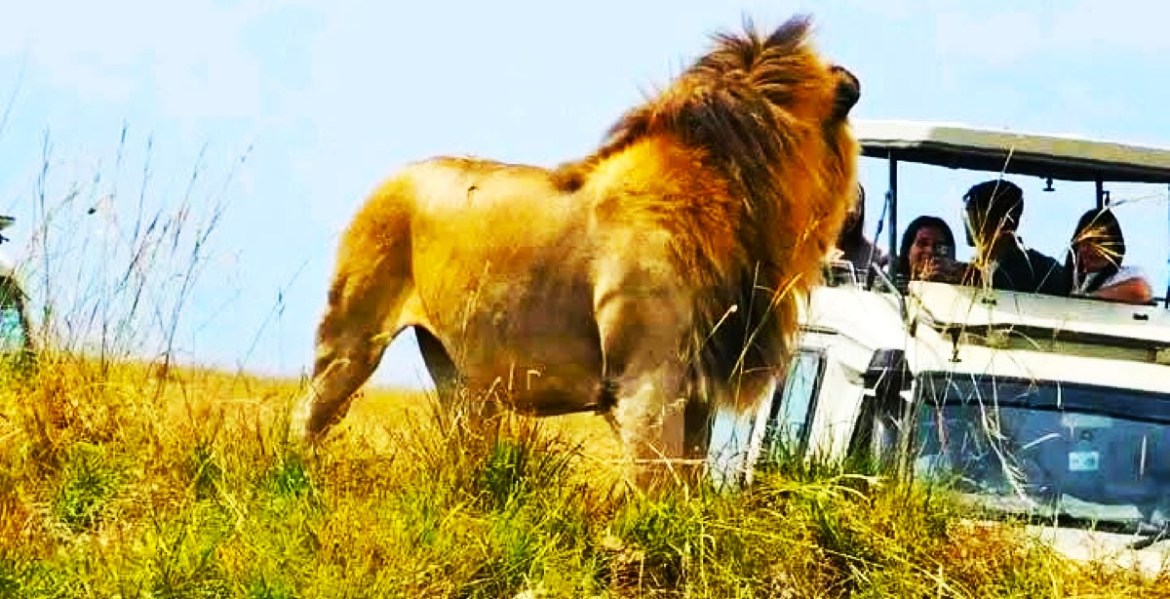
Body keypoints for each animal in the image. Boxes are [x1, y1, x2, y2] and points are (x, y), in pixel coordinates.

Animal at [292, 15, 861, 492]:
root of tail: (396, 175)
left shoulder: (699, 391)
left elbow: (688, 491)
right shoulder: (646, 384)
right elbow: (654, 489)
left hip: (459, 377)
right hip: (352, 335)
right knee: (308, 415)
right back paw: (294, 480)